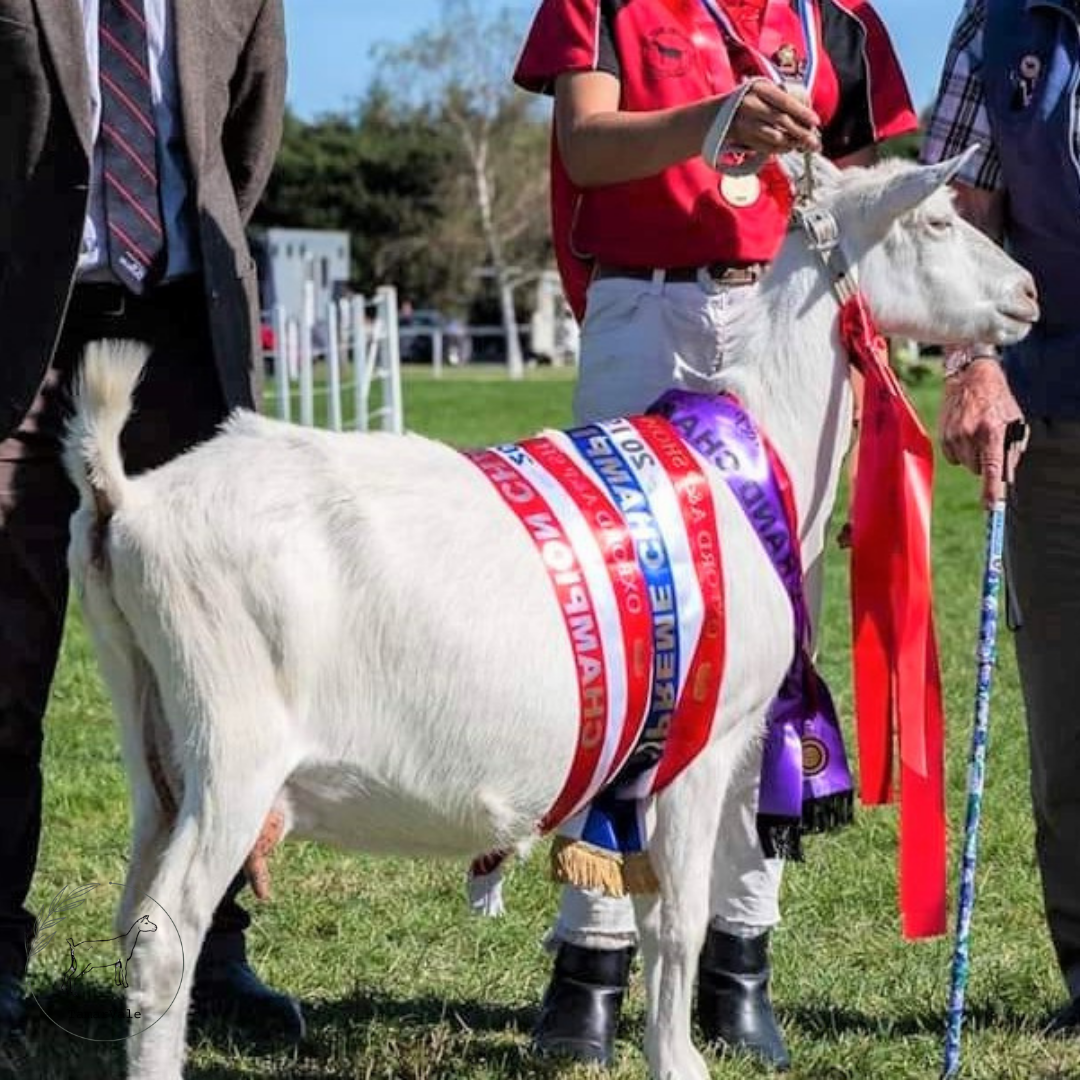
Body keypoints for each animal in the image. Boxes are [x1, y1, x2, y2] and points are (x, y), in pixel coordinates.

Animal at [64, 154, 1037, 1080]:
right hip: (233, 742)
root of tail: (127, 498)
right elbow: (678, 914)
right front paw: (679, 1062)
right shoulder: (705, 736)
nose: (1027, 294)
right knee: (169, 932)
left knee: (134, 916)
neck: (746, 460)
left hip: (152, 735)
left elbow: (648, 902)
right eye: (938, 220)